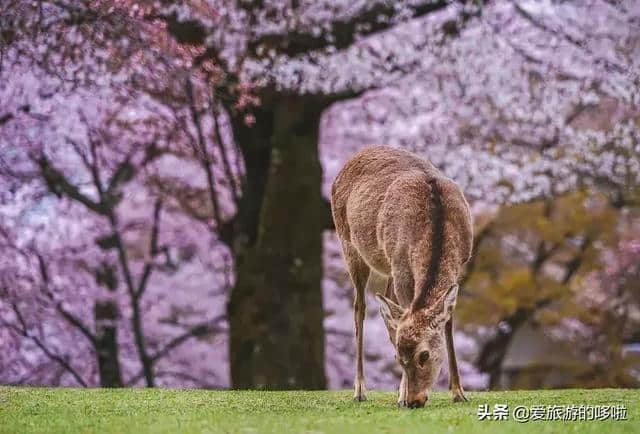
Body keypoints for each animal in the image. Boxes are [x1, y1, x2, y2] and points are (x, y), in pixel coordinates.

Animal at [330, 146, 476, 406]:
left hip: (386, 266)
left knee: (386, 308)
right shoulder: (401, 265)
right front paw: (401, 394)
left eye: (424, 355)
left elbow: (447, 320)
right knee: (360, 307)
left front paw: (459, 392)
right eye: (399, 357)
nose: (414, 401)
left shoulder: (461, 263)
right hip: (348, 243)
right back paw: (360, 390)